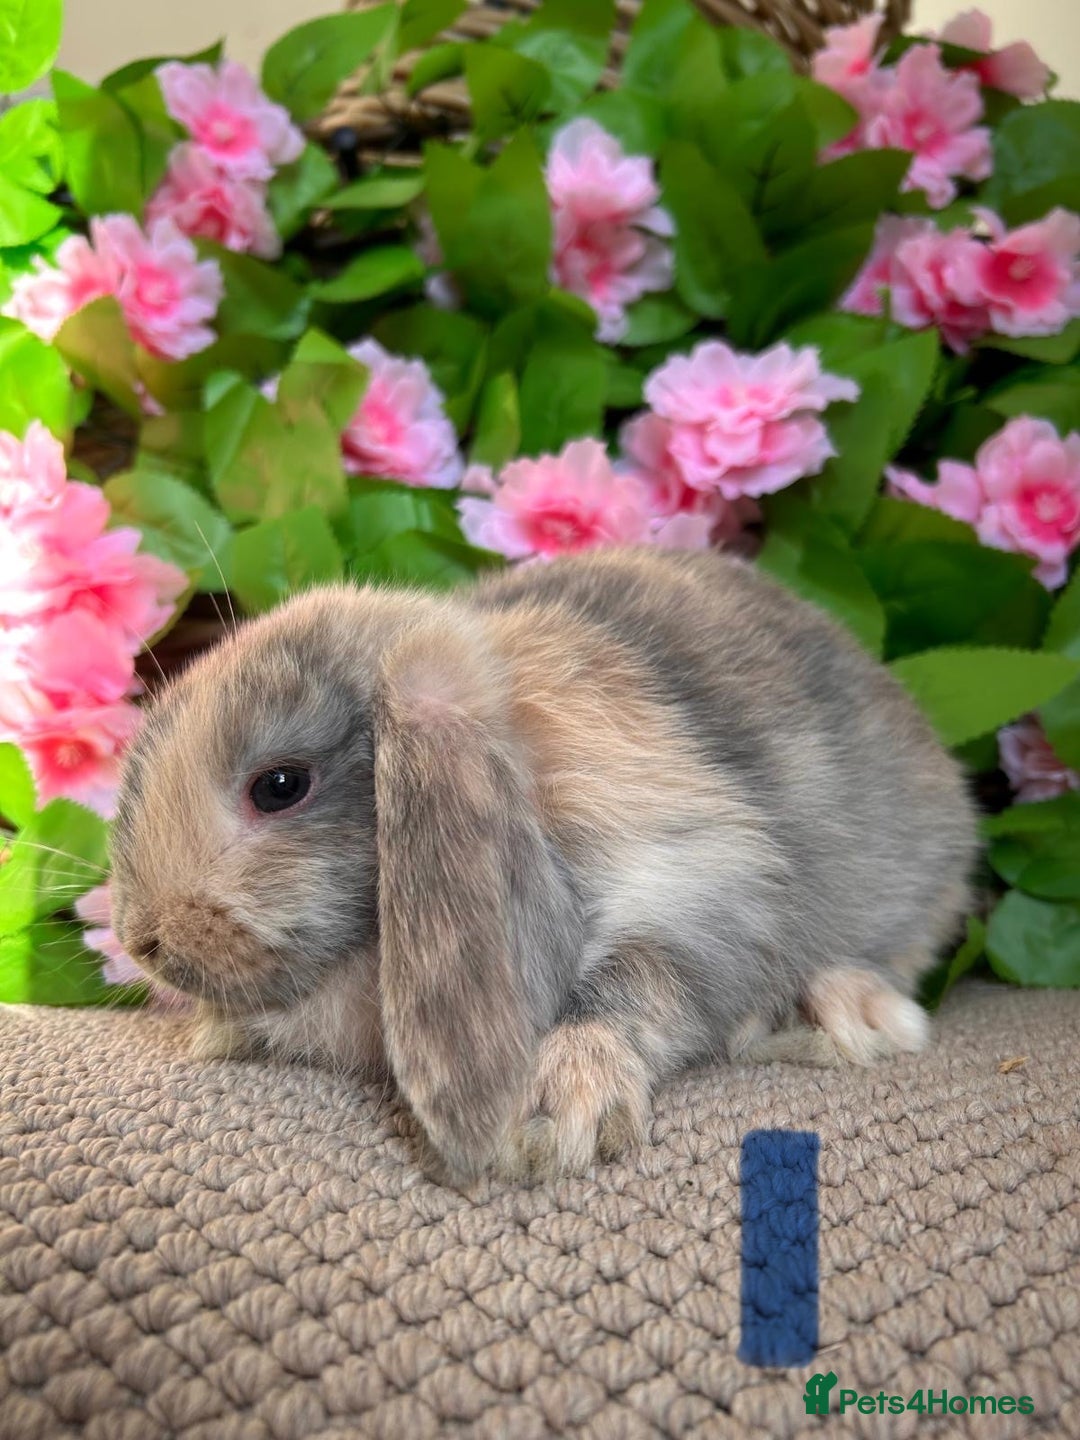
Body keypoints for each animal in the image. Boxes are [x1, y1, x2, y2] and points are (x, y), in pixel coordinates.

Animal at [109, 548, 978, 1185]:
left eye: (280, 786)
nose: (141, 940)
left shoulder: (707, 888)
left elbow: (633, 991)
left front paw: (556, 1113)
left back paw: (850, 1011)